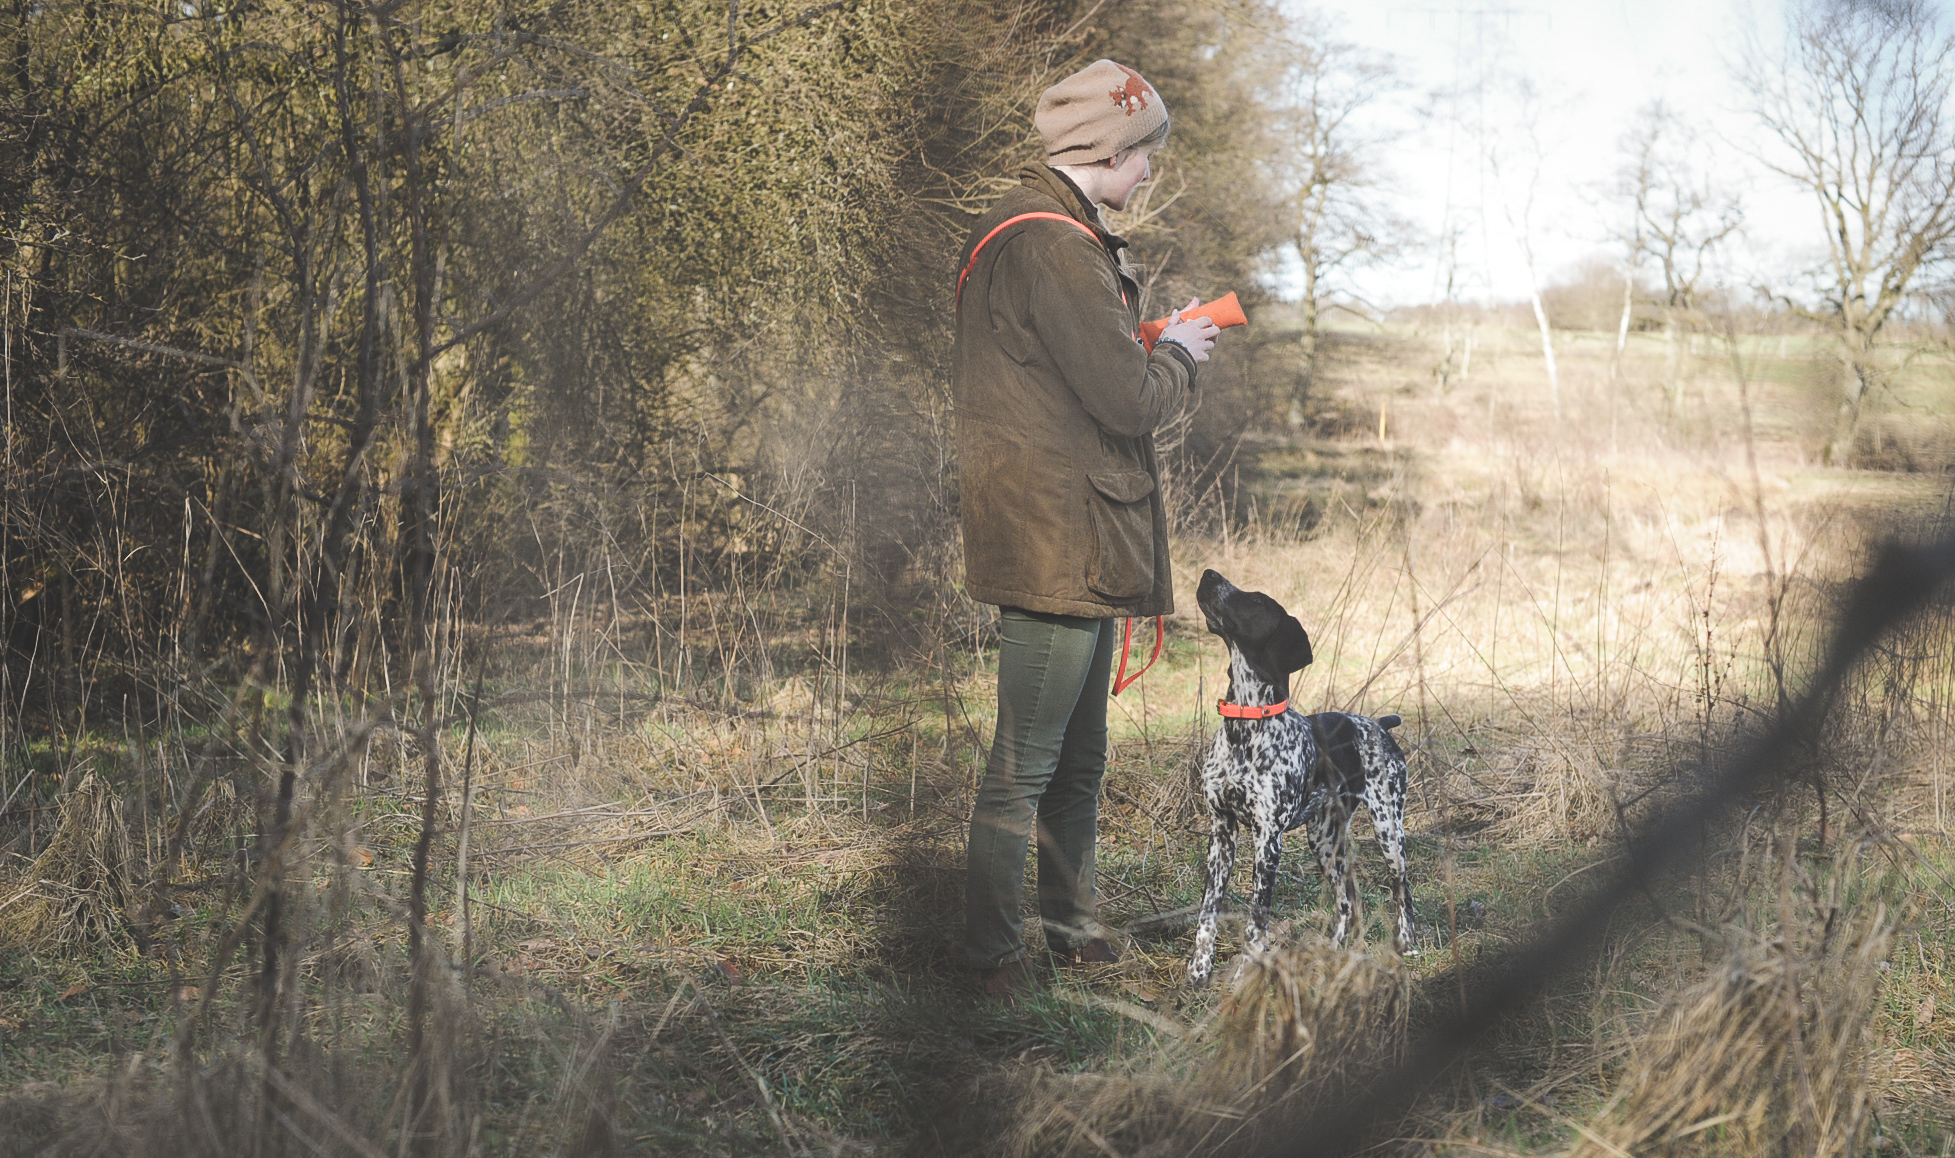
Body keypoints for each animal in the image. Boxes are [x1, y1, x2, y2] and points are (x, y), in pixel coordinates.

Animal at [1187, 569, 1415, 986]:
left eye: (1256, 600)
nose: (1209, 573)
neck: (1244, 727)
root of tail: (1379, 724)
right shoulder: (1221, 833)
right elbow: (1208, 913)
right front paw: (1199, 969)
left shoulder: (1268, 840)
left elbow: (1256, 921)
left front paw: (1243, 976)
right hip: (1323, 840)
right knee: (1346, 900)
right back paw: (1332, 952)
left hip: (1389, 830)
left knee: (1401, 889)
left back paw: (1407, 943)